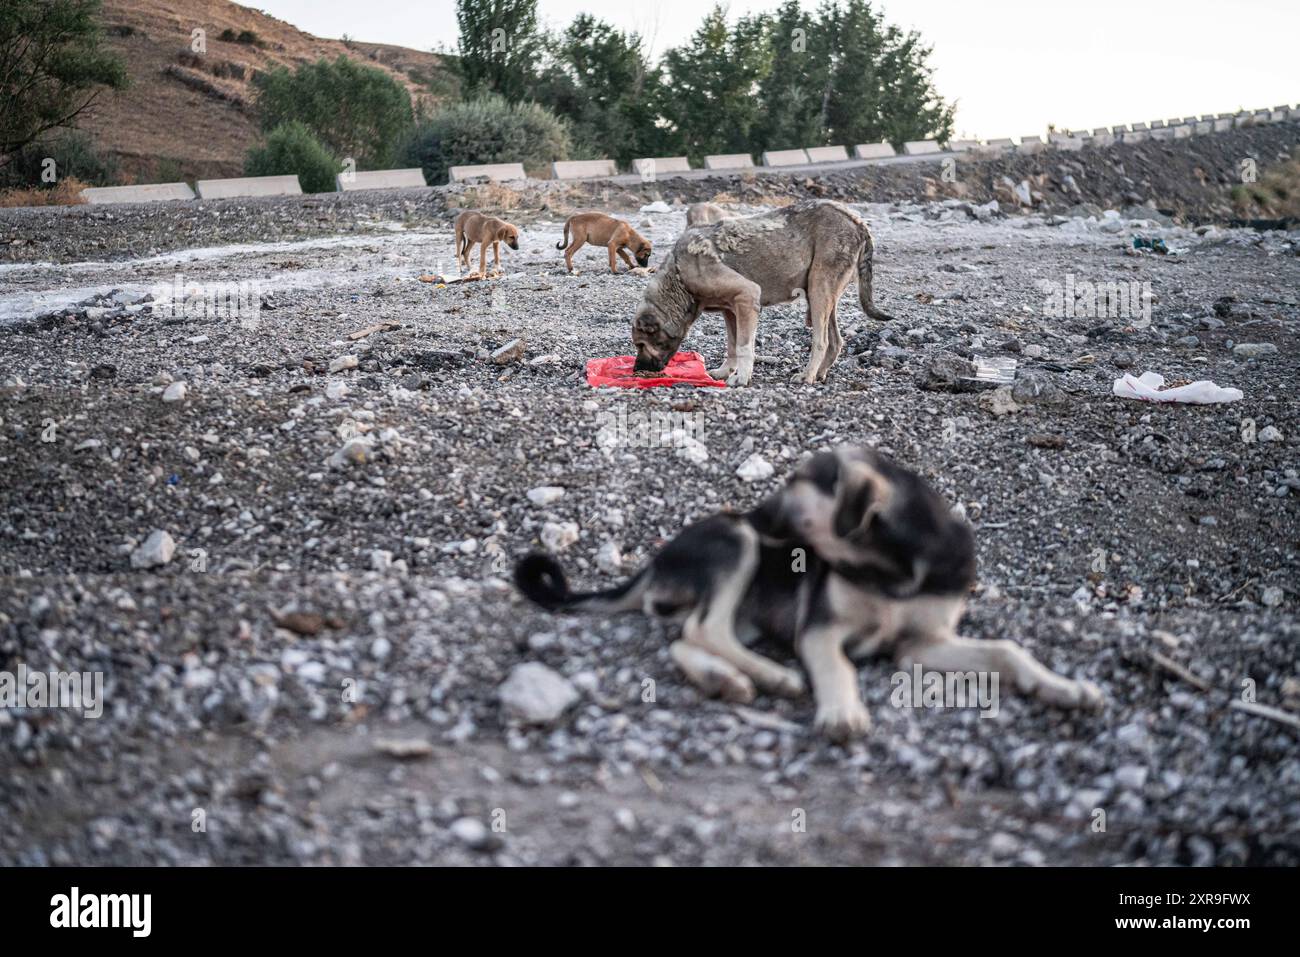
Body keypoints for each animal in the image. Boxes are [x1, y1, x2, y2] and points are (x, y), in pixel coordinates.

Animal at [512, 447, 1102, 738]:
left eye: (796, 485)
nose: (756, 510)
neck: (893, 572)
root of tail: (655, 562)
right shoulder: (820, 630)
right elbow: (838, 666)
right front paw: (842, 713)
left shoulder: (922, 644)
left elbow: (1006, 649)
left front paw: (1066, 688)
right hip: (737, 544)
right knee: (704, 626)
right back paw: (773, 675)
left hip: (748, 599)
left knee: (685, 636)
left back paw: (728, 678)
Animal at [629, 200, 894, 387]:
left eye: (641, 344)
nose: (635, 370)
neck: (679, 275)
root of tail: (856, 219)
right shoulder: (730, 310)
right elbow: (732, 345)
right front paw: (726, 371)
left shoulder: (747, 297)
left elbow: (745, 346)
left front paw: (741, 378)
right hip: (822, 296)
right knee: (836, 341)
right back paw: (819, 374)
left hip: (819, 290)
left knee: (822, 341)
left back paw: (807, 375)